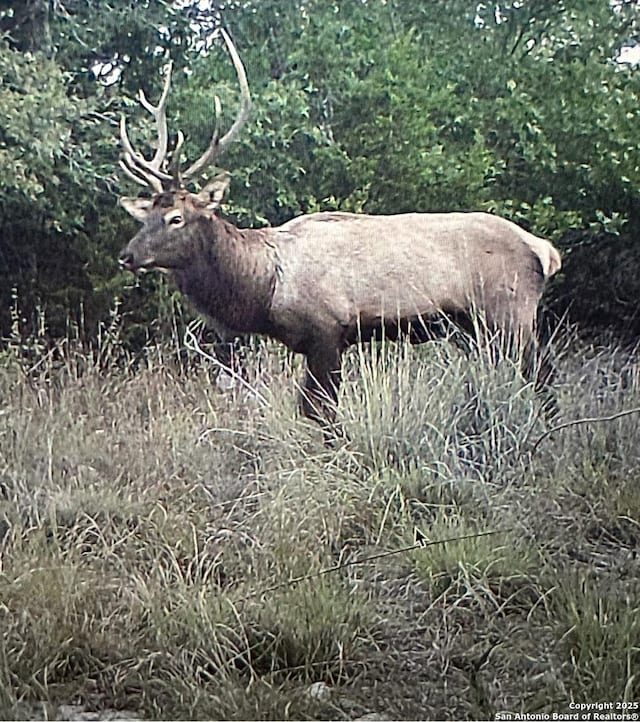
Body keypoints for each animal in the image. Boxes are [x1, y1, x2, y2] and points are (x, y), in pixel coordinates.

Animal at [119, 31, 560, 428]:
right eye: (144, 217)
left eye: (177, 217)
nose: (128, 255)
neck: (267, 286)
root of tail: (545, 251)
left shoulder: (328, 330)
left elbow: (322, 412)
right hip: (474, 329)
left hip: (510, 314)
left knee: (543, 377)